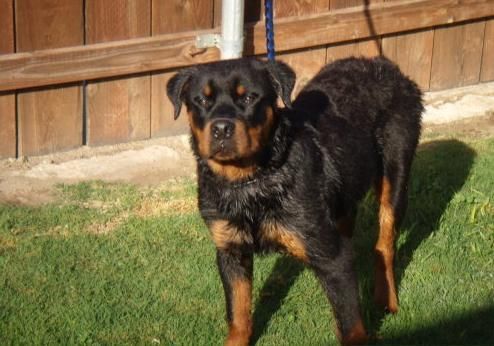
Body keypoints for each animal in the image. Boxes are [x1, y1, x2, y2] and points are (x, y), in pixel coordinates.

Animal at [168, 57, 422, 346]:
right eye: (201, 100)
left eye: (249, 98)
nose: (221, 128)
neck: (250, 182)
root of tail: (386, 65)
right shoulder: (230, 251)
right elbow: (238, 315)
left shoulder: (332, 256)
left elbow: (351, 325)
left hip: (396, 170)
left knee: (384, 243)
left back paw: (386, 299)